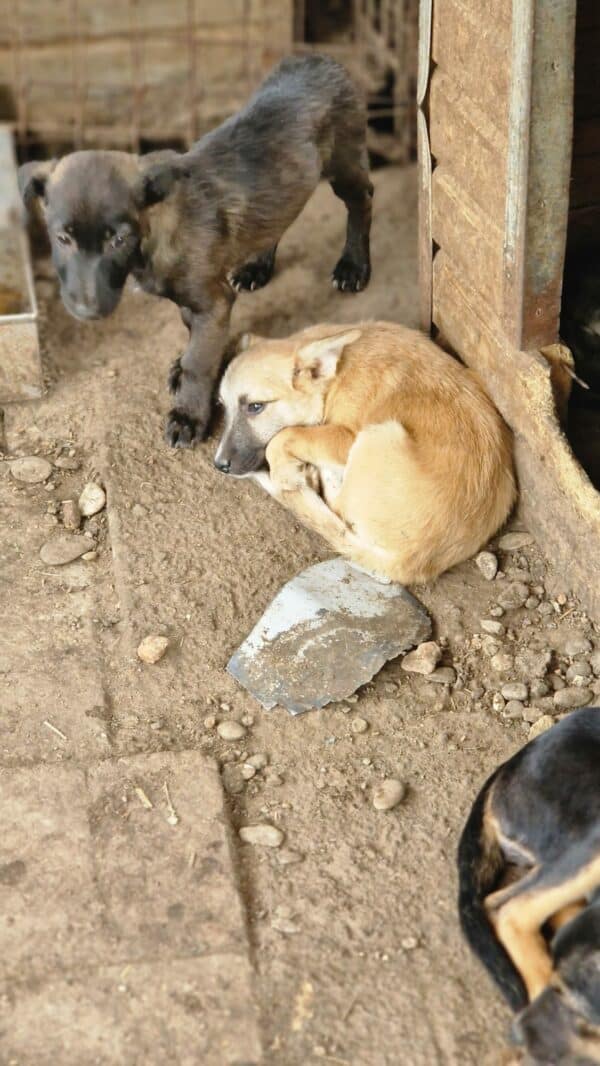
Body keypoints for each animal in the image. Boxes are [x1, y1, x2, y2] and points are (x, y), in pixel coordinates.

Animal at [18, 55, 373, 449]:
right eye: (62, 238)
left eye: (118, 240)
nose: (87, 310)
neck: (154, 234)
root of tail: (318, 58)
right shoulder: (198, 302)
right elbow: (194, 338)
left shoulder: (213, 301)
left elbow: (198, 363)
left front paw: (188, 416)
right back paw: (256, 267)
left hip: (345, 160)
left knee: (362, 201)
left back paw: (354, 266)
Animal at [215, 319, 515, 584]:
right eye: (222, 406)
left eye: (255, 406)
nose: (219, 465)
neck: (336, 376)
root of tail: (411, 562)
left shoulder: (347, 436)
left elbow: (283, 437)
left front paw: (285, 473)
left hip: (377, 434)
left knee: (339, 508)